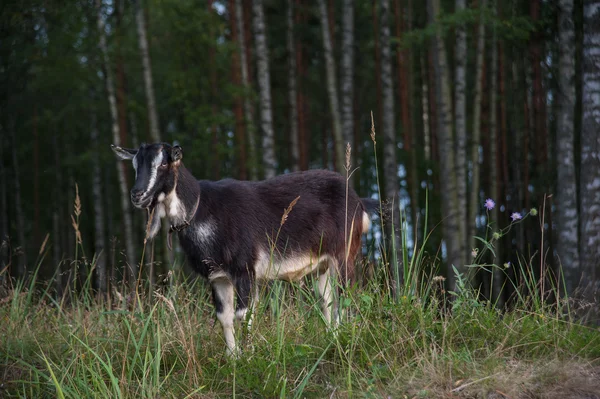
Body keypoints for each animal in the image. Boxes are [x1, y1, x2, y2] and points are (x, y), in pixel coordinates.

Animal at [112, 142, 372, 354]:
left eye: (164, 163)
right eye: (135, 164)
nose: (137, 195)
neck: (202, 210)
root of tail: (358, 201)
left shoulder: (245, 269)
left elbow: (242, 315)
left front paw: (250, 354)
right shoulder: (218, 277)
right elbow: (224, 317)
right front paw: (233, 358)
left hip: (344, 254)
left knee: (345, 295)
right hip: (322, 265)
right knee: (327, 299)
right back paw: (332, 338)